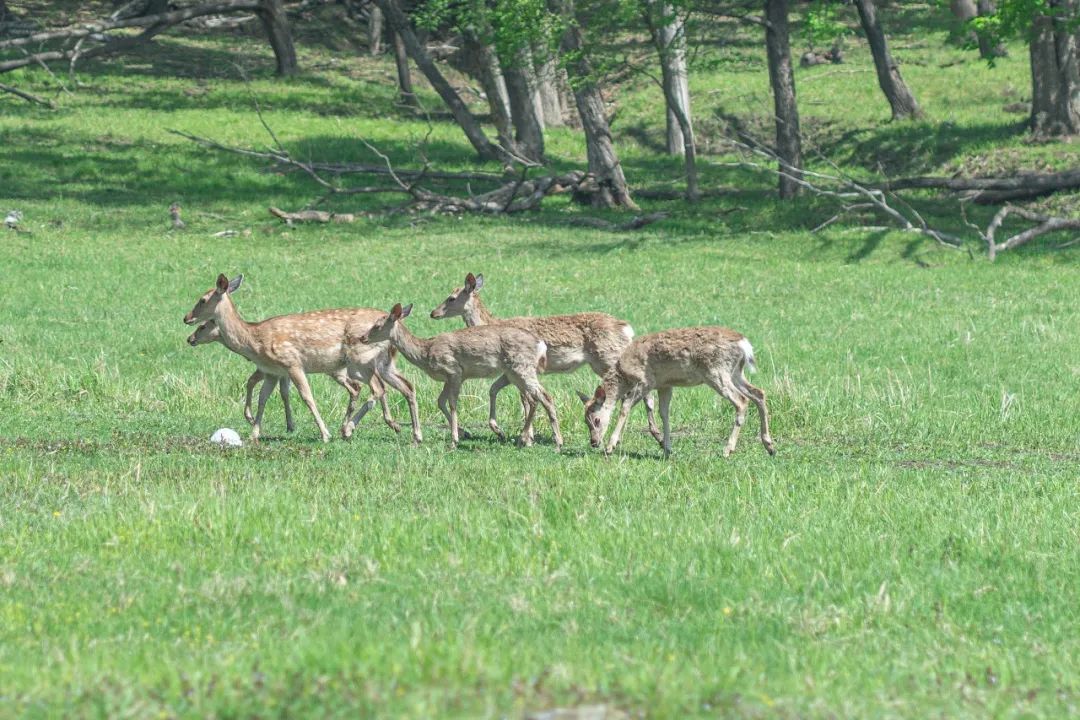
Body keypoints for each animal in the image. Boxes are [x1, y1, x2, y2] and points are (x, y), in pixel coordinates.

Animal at [179, 276, 419, 444]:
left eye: (202, 299)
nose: (186, 318)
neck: (254, 340)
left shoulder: (292, 363)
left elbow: (306, 397)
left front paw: (324, 434)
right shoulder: (272, 371)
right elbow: (263, 398)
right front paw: (254, 433)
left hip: (360, 359)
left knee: (377, 388)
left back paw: (348, 429)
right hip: (383, 363)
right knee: (404, 386)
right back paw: (406, 430)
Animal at [362, 302, 565, 451]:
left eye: (377, 326)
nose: (363, 337)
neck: (425, 353)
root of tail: (540, 345)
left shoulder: (454, 371)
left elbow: (452, 404)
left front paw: (454, 441)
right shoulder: (447, 378)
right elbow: (440, 401)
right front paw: (462, 433)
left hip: (521, 368)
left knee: (544, 396)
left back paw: (555, 442)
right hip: (516, 373)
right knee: (535, 398)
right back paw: (527, 439)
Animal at [427, 273, 660, 442]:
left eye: (451, 298)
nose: (433, 313)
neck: (491, 324)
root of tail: (627, 329)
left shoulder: (519, 368)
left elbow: (525, 399)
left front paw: (527, 436)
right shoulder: (510, 371)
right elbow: (496, 390)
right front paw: (503, 431)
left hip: (607, 359)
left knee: (641, 393)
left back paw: (650, 434)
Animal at [583, 325, 777, 455]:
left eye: (596, 419)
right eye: (585, 421)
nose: (593, 442)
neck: (624, 373)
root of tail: (744, 345)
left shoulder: (645, 381)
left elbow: (625, 407)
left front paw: (611, 446)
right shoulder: (665, 385)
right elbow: (664, 413)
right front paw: (667, 449)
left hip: (716, 372)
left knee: (742, 401)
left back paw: (728, 450)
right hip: (735, 372)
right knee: (759, 393)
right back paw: (770, 446)